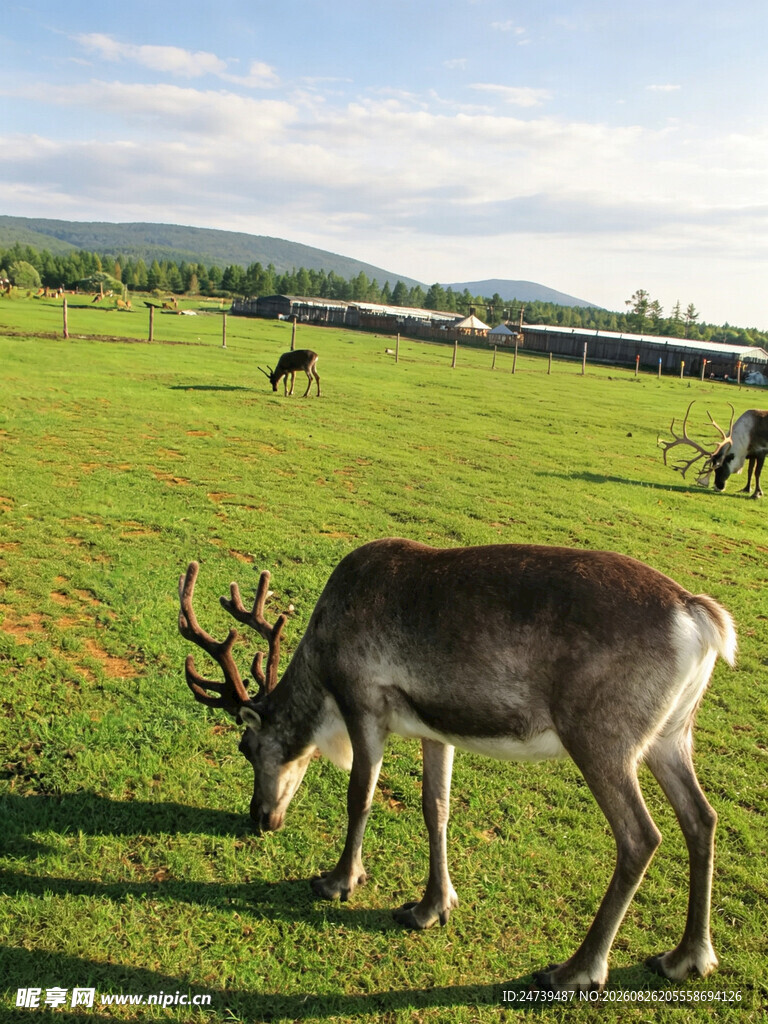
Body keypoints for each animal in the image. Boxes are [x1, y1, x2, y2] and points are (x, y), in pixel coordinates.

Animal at [178, 539, 735, 994]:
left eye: (246, 746)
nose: (259, 817)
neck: (324, 684)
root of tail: (700, 615)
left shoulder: (365, 704)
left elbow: (360, 797)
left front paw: (339, 881)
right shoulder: (434, 728)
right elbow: (436, 808)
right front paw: (431, 906)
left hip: (601, 738)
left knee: (641, 836)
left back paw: (577, 969)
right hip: (670, 737)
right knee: (701, 818)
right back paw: (688, 957)